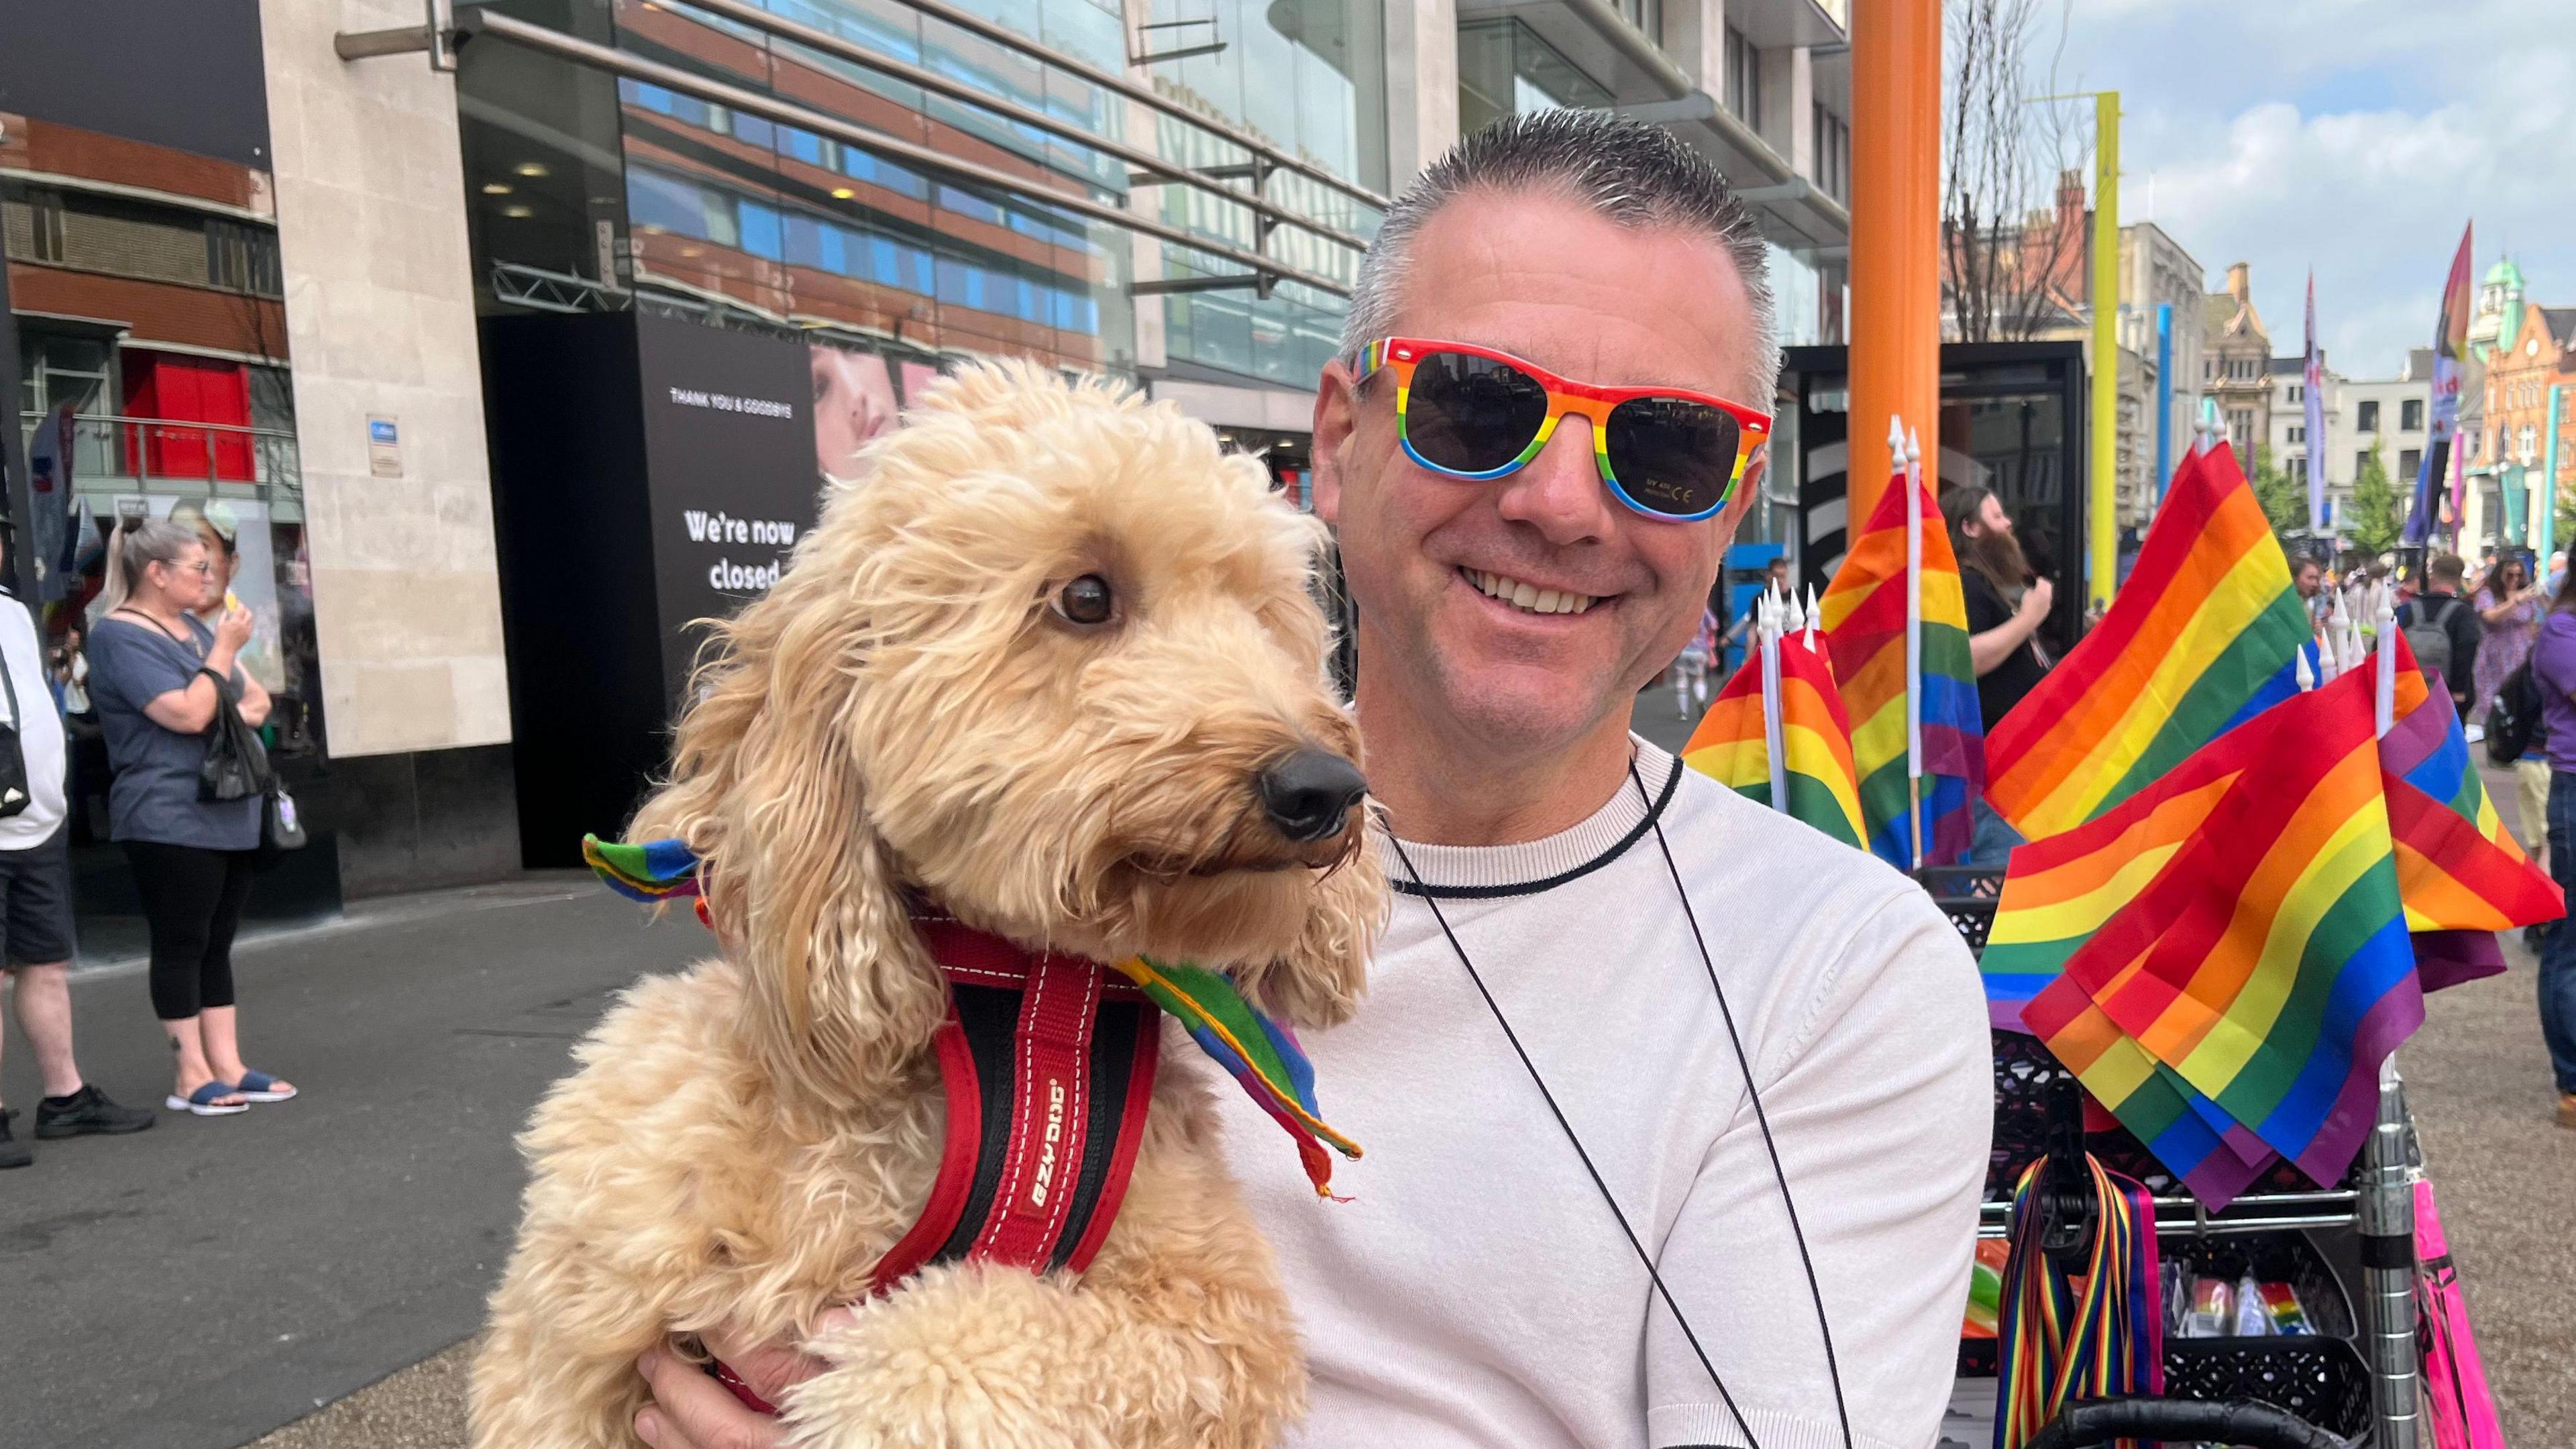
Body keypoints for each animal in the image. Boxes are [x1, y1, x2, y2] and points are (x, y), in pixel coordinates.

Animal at [471, 356, 1381, 1433]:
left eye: (1265, 616)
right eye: (1086, 596)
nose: (1325, 786)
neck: (1012, 1010)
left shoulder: (1215, 1315)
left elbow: (943, 1356)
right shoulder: (563, 1333)